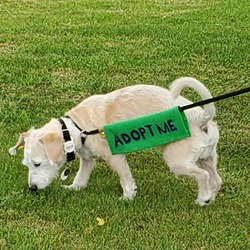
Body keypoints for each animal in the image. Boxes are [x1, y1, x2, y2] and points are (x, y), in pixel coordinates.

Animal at [8, 77, 222, 206]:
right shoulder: (87, 159)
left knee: (203, 175)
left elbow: (125, 179)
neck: (77, 128)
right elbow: (81, 177)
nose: (32, 188)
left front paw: (127, 198)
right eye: (27, 164)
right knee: (215, 178)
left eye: (37, 163)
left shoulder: (115, 158)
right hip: (207, 157)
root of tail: (201, 118)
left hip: (177, 161)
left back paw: (202, 198)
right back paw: (210, 198)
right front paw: (74, 189)